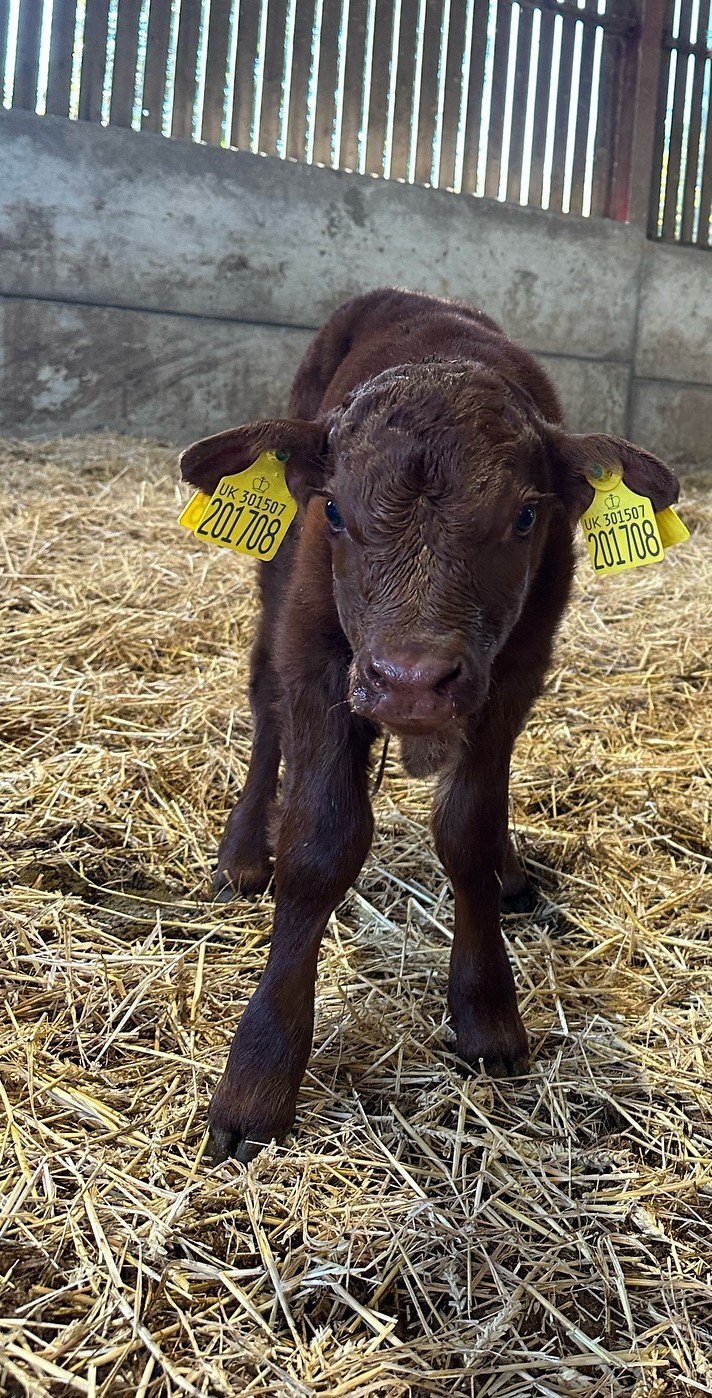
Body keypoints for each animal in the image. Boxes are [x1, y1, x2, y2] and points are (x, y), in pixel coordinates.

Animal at [180, 288, 679, 1163]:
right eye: (336, 510)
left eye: (525, 519)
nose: (410, 681)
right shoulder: (316, 648)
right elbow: (321, 843)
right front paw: (259, 1075)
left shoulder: (516, 665)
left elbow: (468, 828)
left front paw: (486, 1010)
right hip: (277, 579)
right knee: (263, 699)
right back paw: (242, 853)